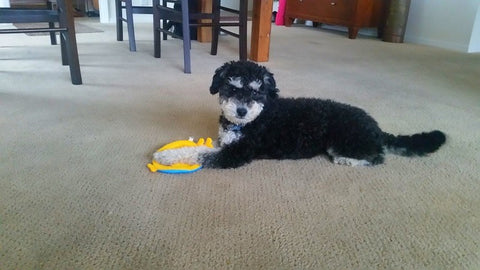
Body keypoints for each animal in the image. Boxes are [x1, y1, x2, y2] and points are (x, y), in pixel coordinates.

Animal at [155, 60, 446, 169]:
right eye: (233, 87)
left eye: (258, 92)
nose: (241, 110)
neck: (255, 120)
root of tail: (376, 127)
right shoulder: (226, 142)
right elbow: (201, 145)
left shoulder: (236, 153)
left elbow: (200, 152)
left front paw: (166, 156)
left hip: (344, 140)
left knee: (378, 157)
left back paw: (347, 160)